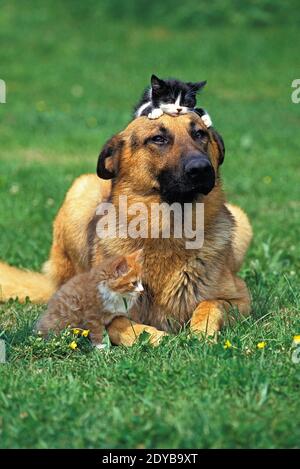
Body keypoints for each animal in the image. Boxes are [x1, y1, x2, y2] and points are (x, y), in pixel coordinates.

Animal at [0, 114, 252, 344]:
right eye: (158, 139)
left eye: (200, 134)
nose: (201, 168)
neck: (167, 231)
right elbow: (122, 324)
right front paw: (158, 338)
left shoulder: (241, 299)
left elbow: (210, 304)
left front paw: (201, 332)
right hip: (80, 192)